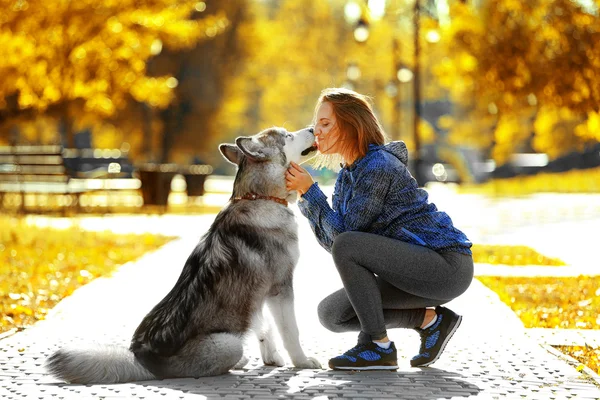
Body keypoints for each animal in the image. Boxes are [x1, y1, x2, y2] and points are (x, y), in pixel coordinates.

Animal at [45, 126, 324, 382]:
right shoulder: (280, 287)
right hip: (229, 343)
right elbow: (290, 331)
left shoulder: (258, 293)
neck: (260, 197)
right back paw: (240, 361)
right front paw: (301, 361)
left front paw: (272, 358)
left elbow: (263, 326)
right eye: (288, 135)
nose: (313, 128)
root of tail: (144, 358)